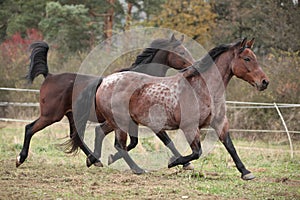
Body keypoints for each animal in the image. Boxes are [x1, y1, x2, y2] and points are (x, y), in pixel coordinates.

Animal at [15, 33, 195, 168]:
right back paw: (20, 158)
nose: (193, 67)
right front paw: (185, 163)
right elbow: (164, 141)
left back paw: (94, 160)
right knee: (29, 128)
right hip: (51, 116)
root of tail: (49, 76)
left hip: (71, 116)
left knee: (76, 137)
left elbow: (128, 142)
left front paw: (104, 158)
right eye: (181, 52)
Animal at [74, 38, 270, 180]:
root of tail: (105, 80)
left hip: (119, 122)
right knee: (119, 145)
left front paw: (246, 172)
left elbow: (230, 146)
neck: (203, 88)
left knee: (104, 134)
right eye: (247, 59)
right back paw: (137, 169)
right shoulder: (188, 127)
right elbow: (195, 152)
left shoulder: (220, 122)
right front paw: (174, 162)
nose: (264, 82)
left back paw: (95, 159)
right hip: (120, 122)